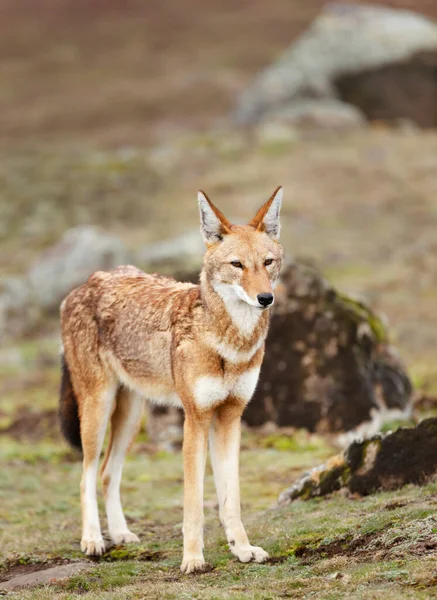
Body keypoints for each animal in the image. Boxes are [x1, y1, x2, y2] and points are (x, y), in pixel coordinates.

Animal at [58, 186, 282, 572]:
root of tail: (86, 282)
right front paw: (193, 558)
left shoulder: (230, 417)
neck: (230, 342)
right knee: (86, 474)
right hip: (97, 411)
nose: (265, 298)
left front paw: (242, 549)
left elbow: (231, 499)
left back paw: (121, 534)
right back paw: (92, 540)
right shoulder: (195, 419)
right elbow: (193, 502)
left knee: (107, 473)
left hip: (130, 418)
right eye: (237, 265)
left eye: (267, 262)